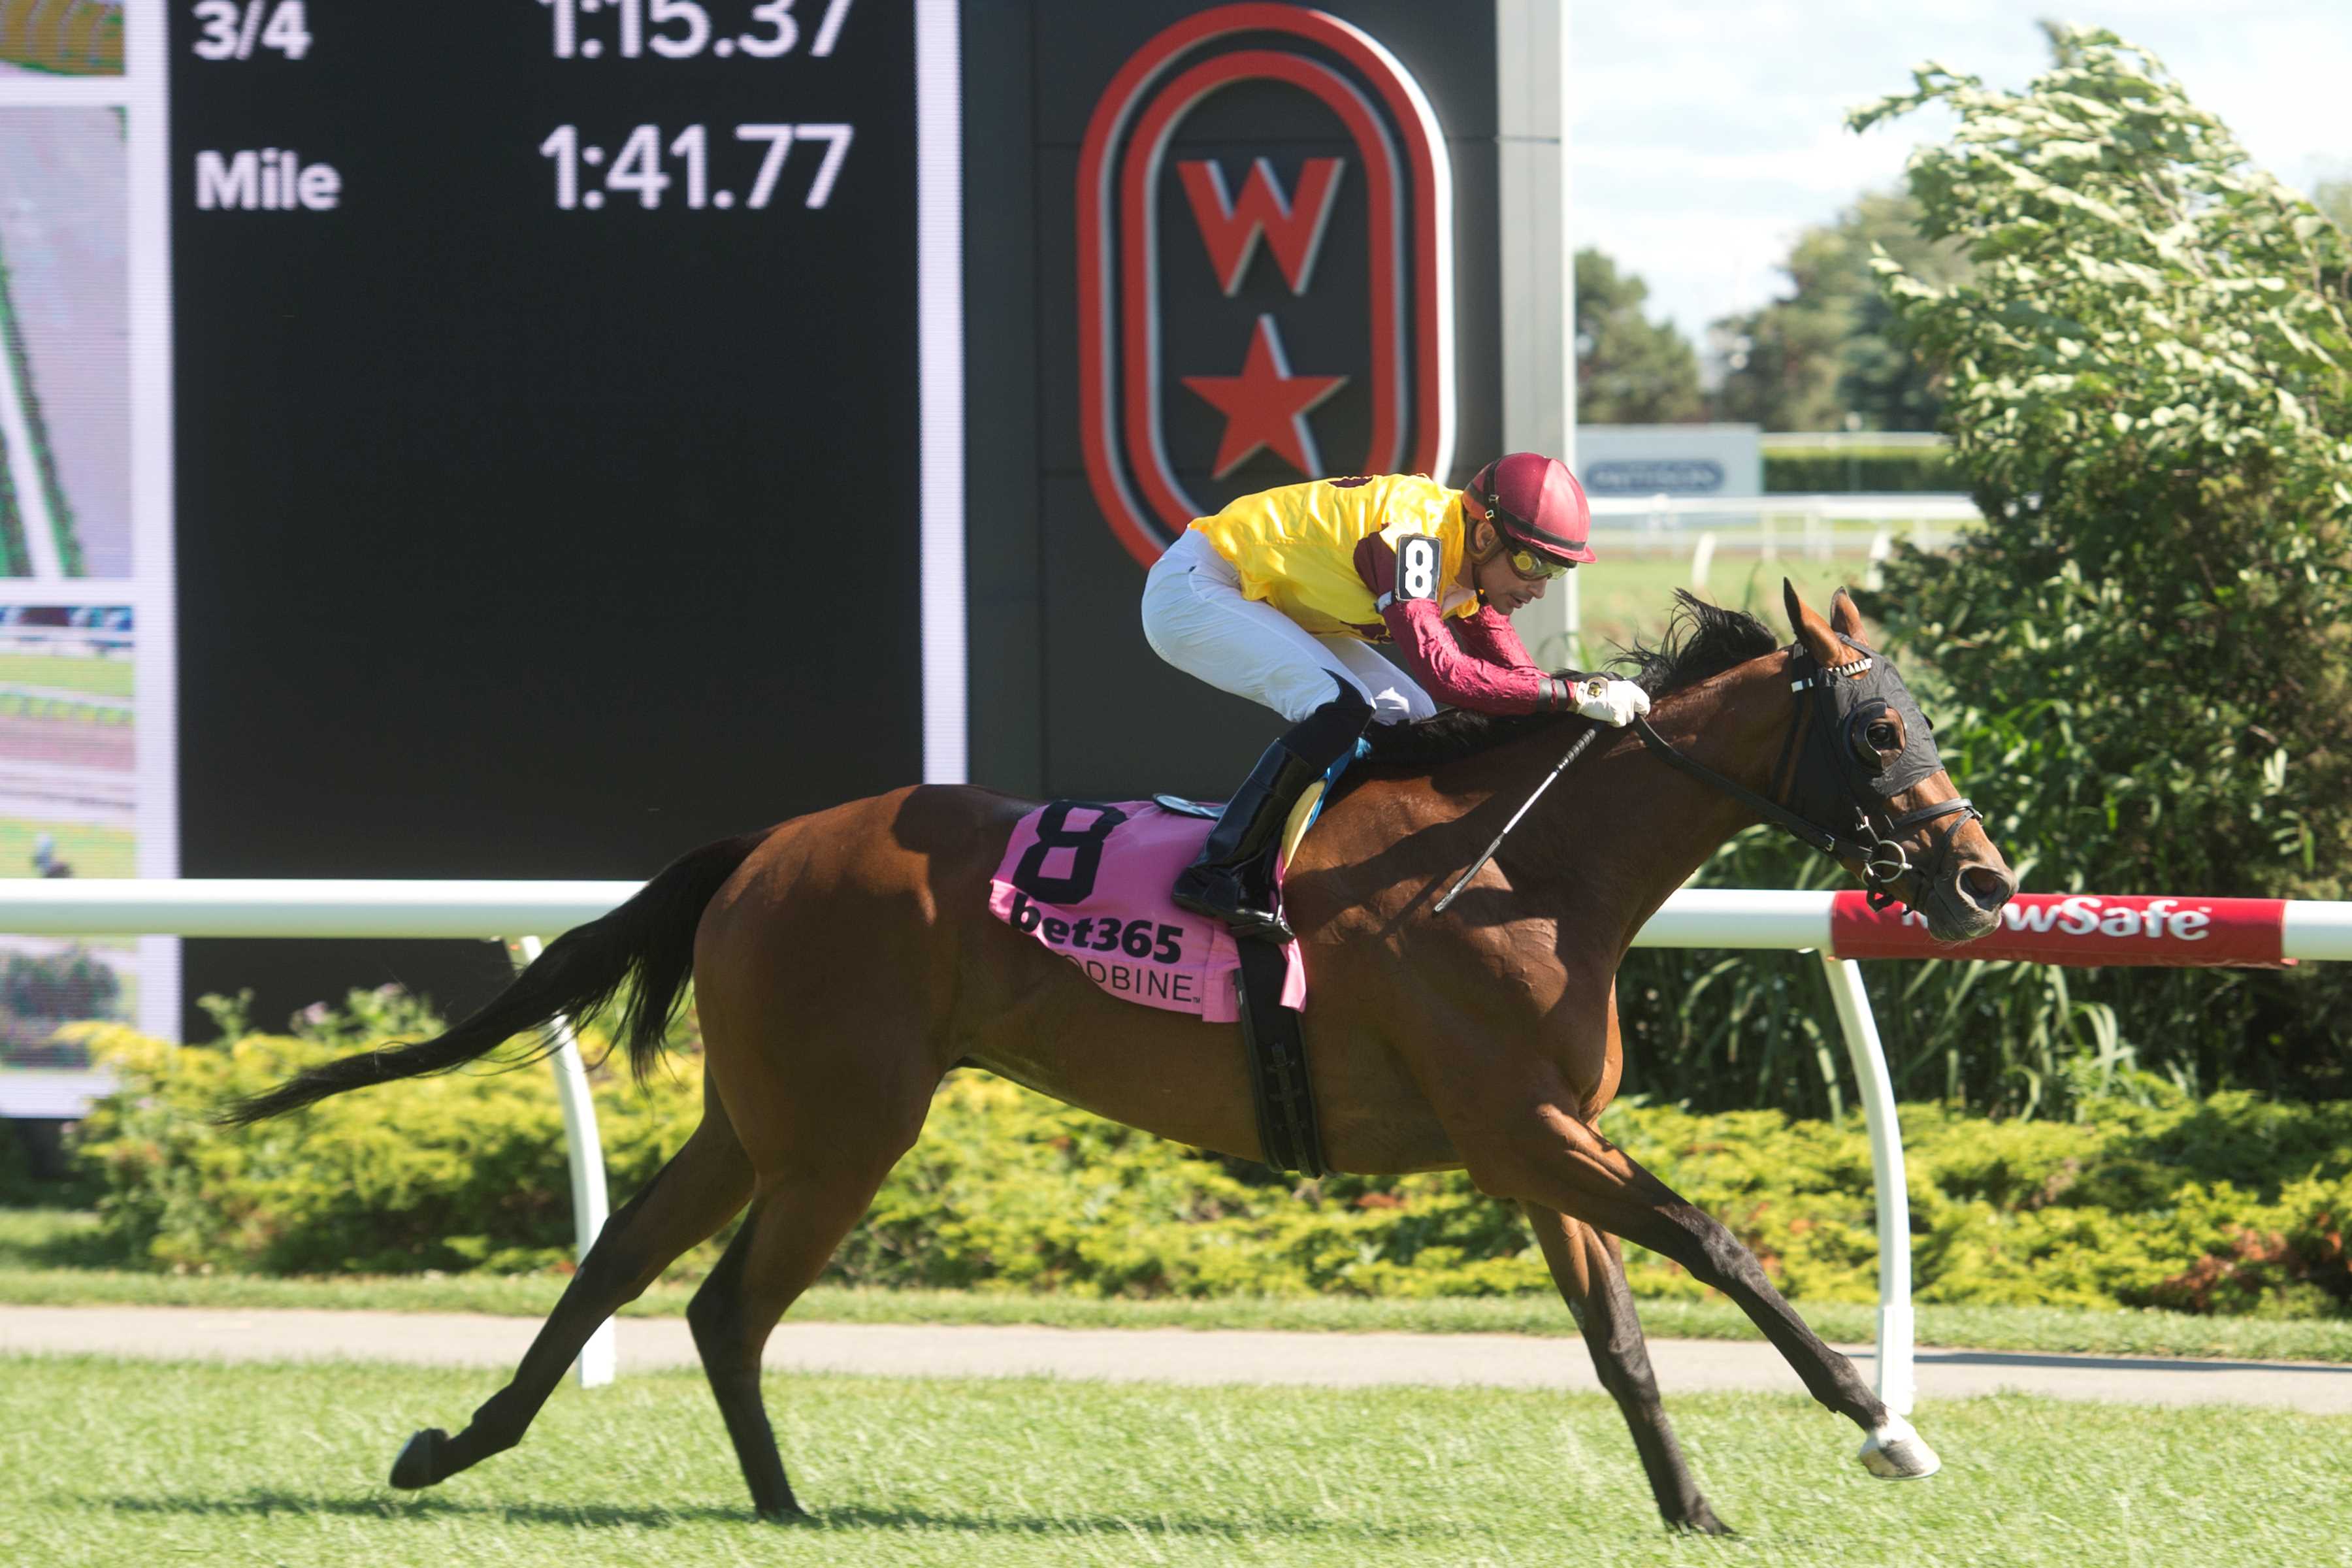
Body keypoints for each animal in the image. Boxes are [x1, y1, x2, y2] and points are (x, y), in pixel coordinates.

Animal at [224, 585, 2023, 1533]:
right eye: (1879, 728)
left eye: (1923, 719)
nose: (1984, 881)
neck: (1518, 867)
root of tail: (759, 849)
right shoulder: (1518, 1123)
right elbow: (1720, 1244)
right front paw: (1882, 1423)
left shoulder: (1530, 1141)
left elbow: (1625, 1341)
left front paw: (1693, 1507)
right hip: (843, 1124)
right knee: (724, 1298)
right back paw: (777, 1505)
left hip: (767, 1115)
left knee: (625, 1263)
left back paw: (473, 1446)